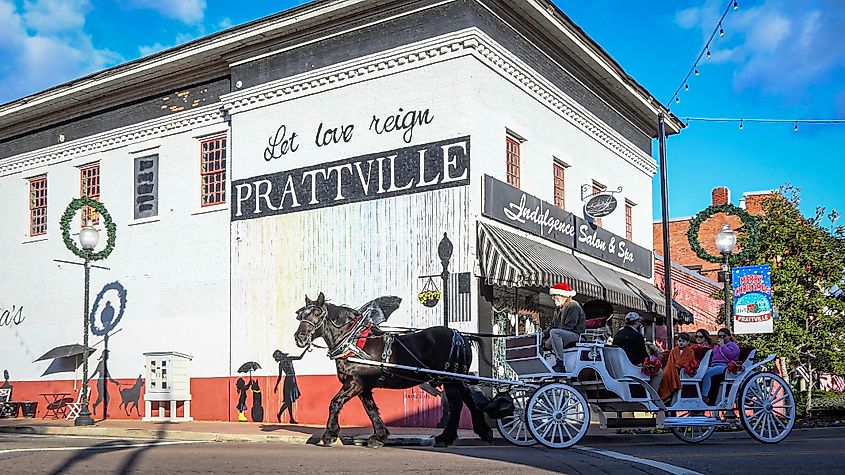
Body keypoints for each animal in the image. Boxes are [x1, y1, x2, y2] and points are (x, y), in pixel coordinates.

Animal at [296, 292, 494, 448]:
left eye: (317, 313)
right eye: (301, 315)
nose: (299, 337)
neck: (353, 342)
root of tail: (461, 335)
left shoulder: (354, 383)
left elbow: (335, 403)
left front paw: (329, 435)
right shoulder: (363, 386)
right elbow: (371, 410)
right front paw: (379, 436)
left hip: (449, 379)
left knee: (456, 404)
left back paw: (446, 437)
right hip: (456, 378)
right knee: (469, 400)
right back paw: (483, 431)